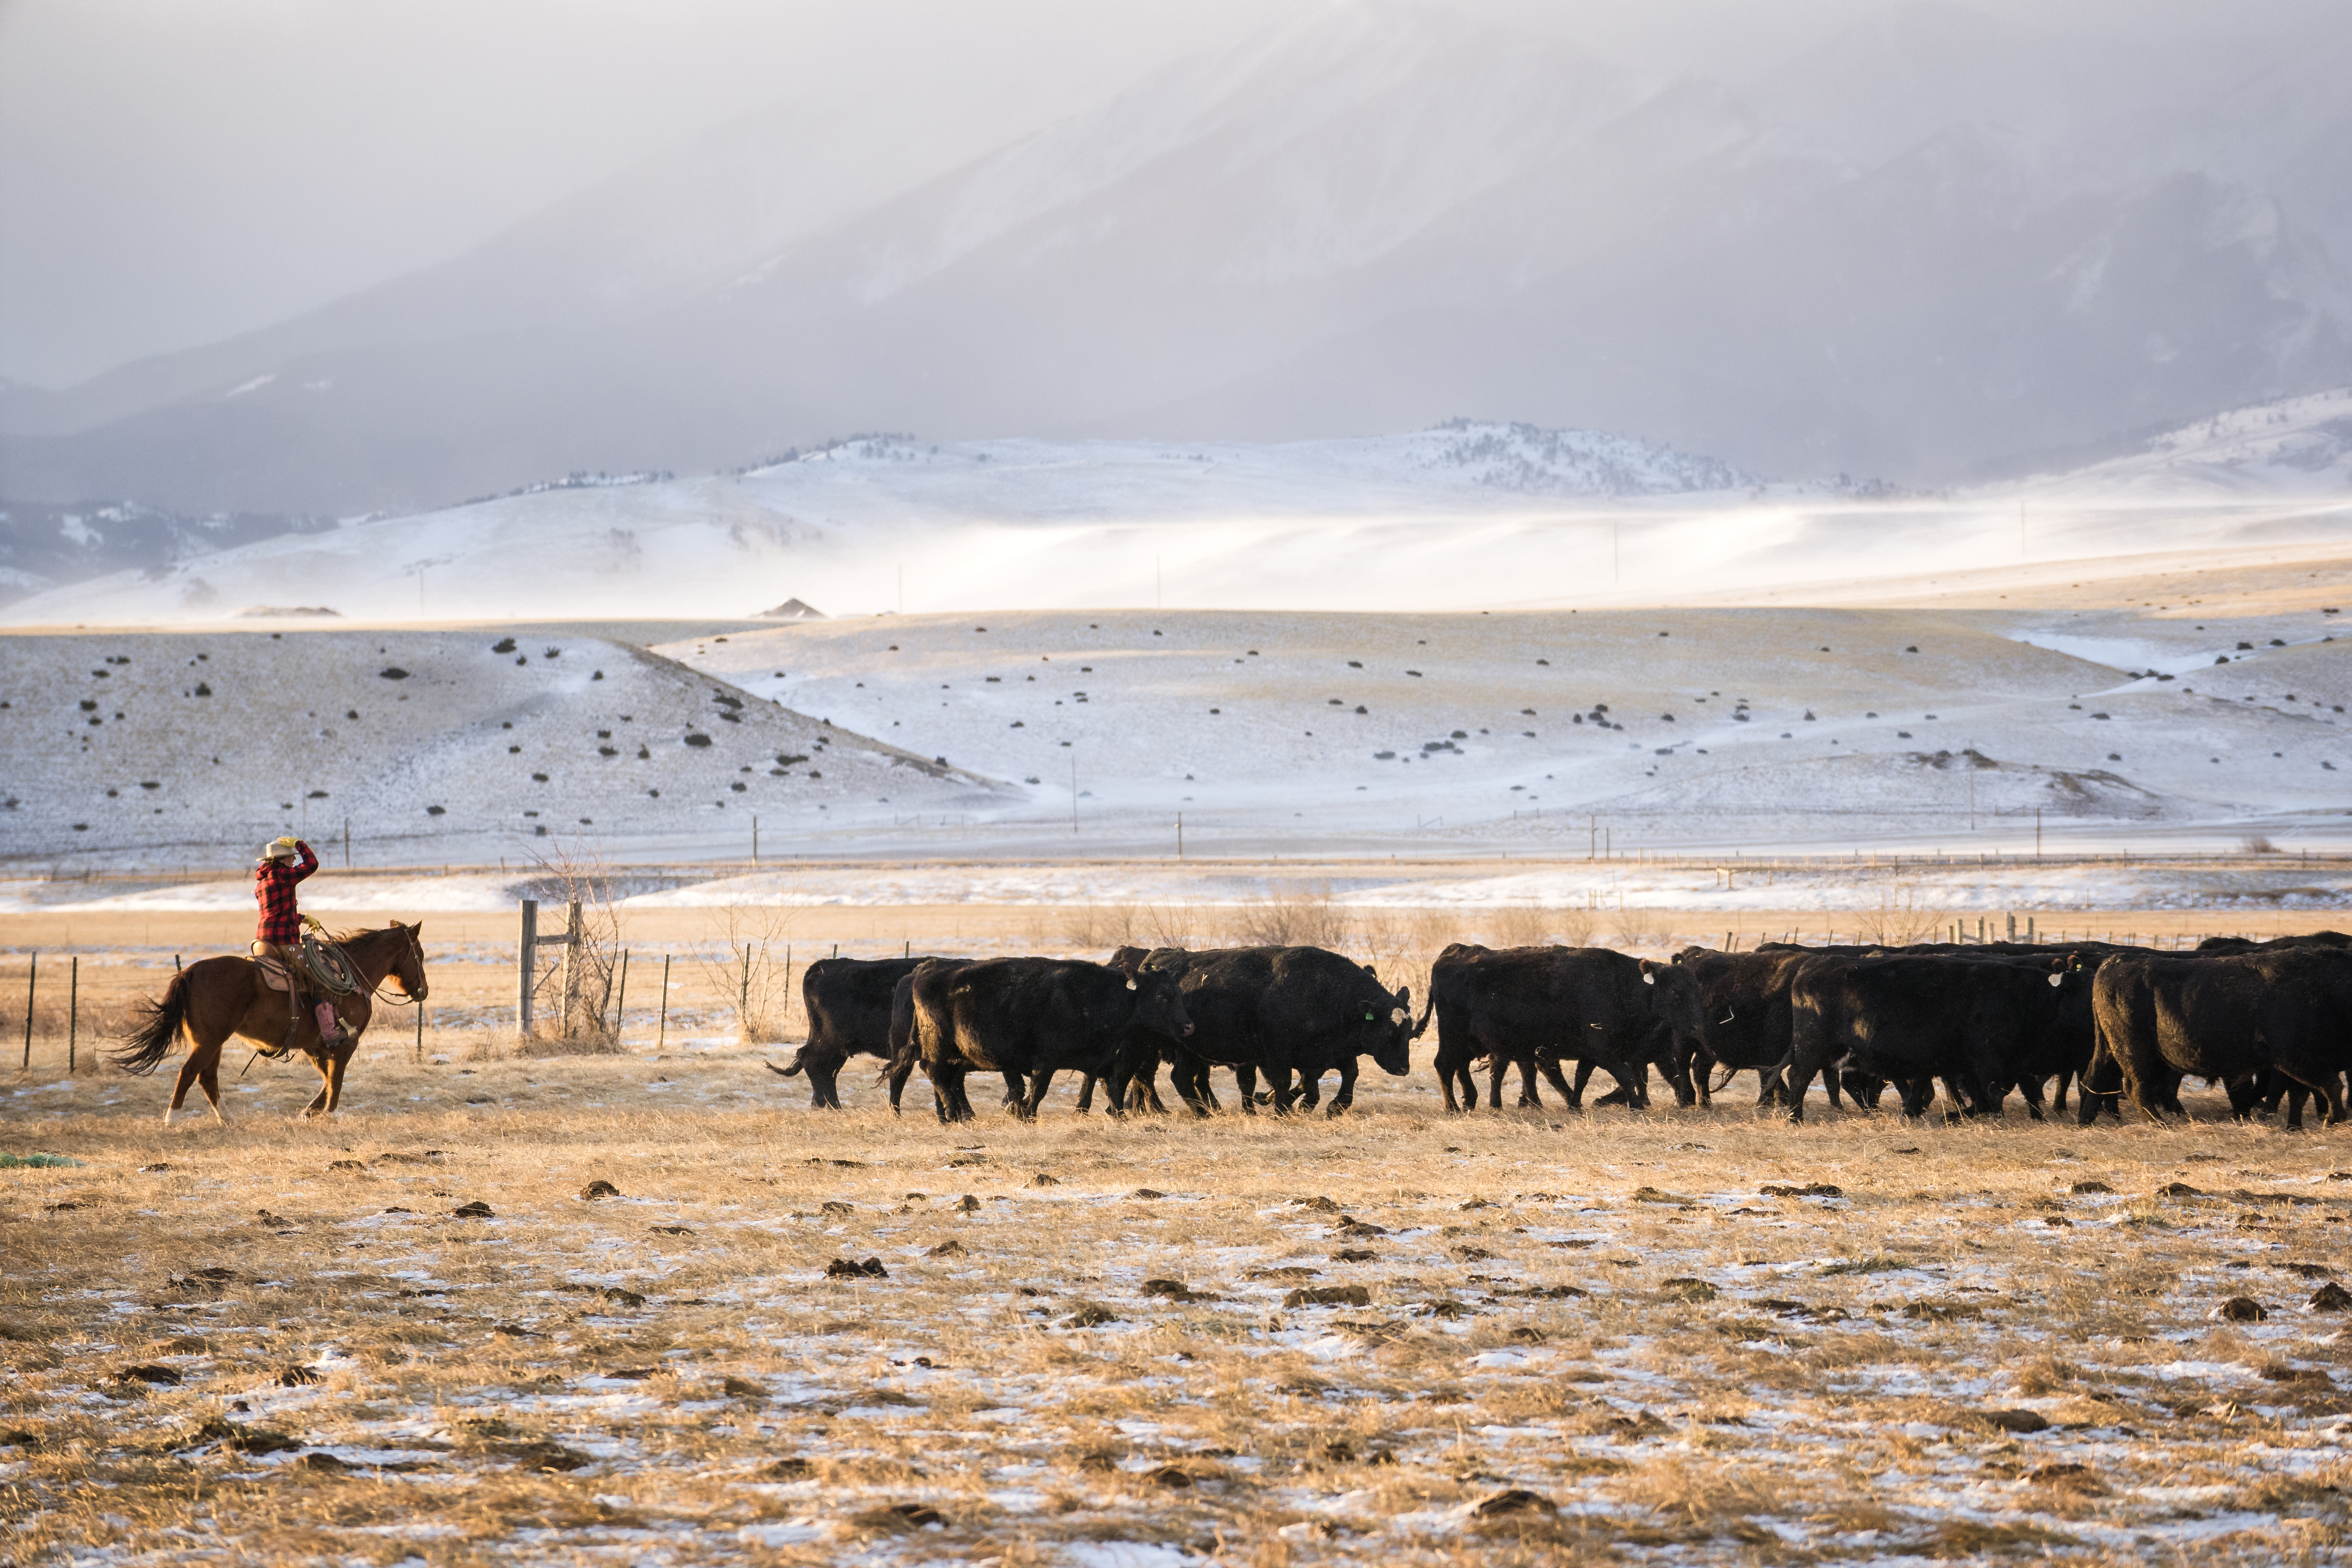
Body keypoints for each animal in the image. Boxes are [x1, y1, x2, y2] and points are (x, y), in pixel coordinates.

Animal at [114, 921, 430, 1128]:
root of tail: (189, 972)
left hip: (211, 1042)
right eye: (421, 955)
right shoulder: (346, 1043)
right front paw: (327, 1113)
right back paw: (174, 1119)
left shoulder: (314, 1047)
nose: (424, 991)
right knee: (189, 1073)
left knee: (207, 1078)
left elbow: (327, 1078)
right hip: (209, 1042)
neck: (353, 975)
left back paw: (227, 1119)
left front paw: (310, 1112)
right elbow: (336, 1078)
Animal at [757, 949, 931, 1109]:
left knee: (822, 1067)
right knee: (814, 1062)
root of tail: (821, 967)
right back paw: (831, 1106)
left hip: (836, 1046)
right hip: (830, 1041)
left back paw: (825, 1104)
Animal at [903, 949, 1195, 1123]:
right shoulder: (1045, 1062)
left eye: (1179, 994)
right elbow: (1039, 1090)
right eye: (1162, 995)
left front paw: (1119, 1116)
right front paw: (1027, 1115)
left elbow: (1113, 1089)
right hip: (938, 1047)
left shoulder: (1107, 1063)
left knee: (947, 1078)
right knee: (933, 1071)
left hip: (956, 1055)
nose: (1189, 1026)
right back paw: (952, 1113)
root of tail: (927, 968)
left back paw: (955, 1115)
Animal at [1411, 945, 1693, 1114]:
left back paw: (1474, 1101)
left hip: (1471, 1043)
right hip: (1453, 1037)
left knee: (1465, 1067)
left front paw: (1574, 1105)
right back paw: (1453, 1108)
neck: (1619, 987)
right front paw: (1635, 1105)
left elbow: (1580, 1078)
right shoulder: (1603, 1050)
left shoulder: (1588, 1054)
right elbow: (1625, 1075)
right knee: (1444, 1065)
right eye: (1675, 993)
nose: (1694, 1025)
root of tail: (1453, 952)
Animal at [2098, 949, 2352, 1123]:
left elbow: (2303, 1094)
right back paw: (2160, 1123)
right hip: (2134, 1053)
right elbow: (2332, 1085)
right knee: (2138, 1088)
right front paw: (2333, 1119)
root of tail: (2115, 962)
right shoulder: (2296, 1059)